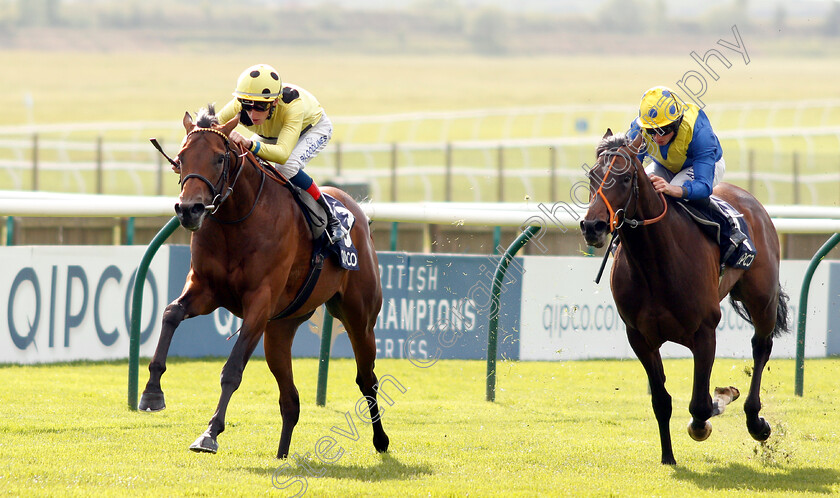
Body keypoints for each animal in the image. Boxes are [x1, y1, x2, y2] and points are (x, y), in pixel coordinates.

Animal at [139, 107, 390, 462]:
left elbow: (232, 370)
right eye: (180, 158)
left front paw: (210, 433)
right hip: (280, 330)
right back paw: (282, 455)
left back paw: (381, 440)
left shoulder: (259, 303)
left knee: (367, 379)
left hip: (359, 317)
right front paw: (152, 393)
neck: (236, 220)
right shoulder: (205, 290)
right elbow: (171, 313)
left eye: (219, 158)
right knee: (291, 400)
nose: (189, 210)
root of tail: (356, 211)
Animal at [580, 130, 792, 464]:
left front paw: (716, 404)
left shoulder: (705, 331)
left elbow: (700, 405)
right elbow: (661, 401)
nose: (593, 226)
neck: (655, 262)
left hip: (762, 297)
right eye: (592, 175)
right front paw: (668, 457)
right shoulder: (639, 337)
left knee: (761, 346)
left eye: (625, 178)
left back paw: (756, 421)